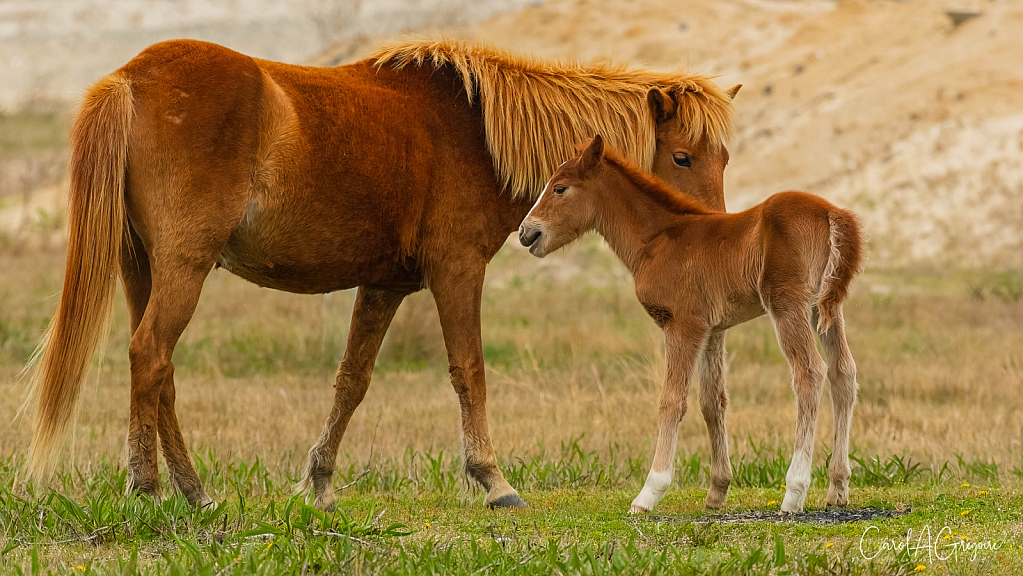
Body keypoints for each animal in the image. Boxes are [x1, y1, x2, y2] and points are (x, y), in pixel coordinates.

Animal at [519, 136, 863, 513]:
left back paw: (794, 491)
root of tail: (832, 213)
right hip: (824, 308)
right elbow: (712, 401)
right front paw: (717, 491)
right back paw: (838, 486)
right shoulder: (711, 330)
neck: (658, 239)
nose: (526, 232)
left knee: (810, 372)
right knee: (843, 372)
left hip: (787, 304)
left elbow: (671, 401)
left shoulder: (682, 324)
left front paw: (649, 493)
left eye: (560, 188)